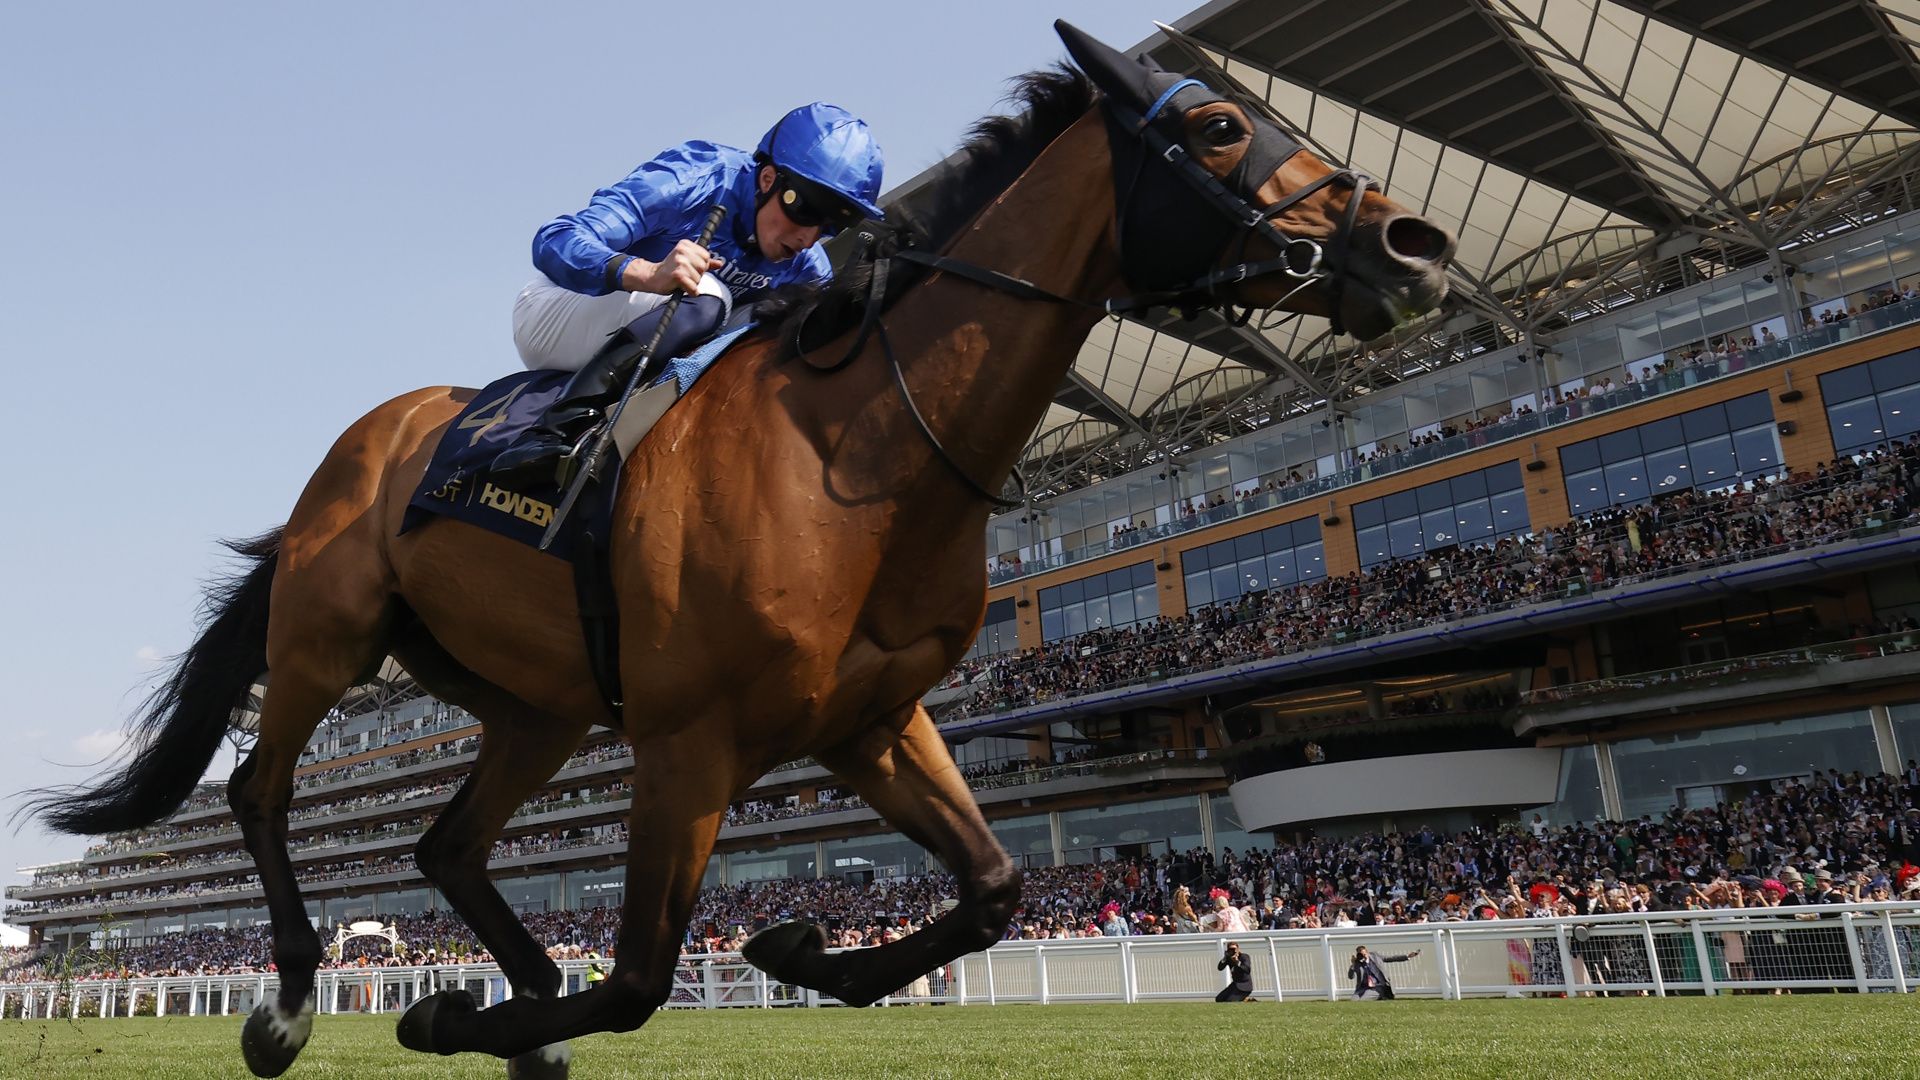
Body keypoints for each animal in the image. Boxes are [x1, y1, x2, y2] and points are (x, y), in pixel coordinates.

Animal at [26, 22, 1452, 1078]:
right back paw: (290, 1003)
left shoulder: (869, 718)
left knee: (444, 850)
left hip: (538, 708)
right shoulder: (688, 741)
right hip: (328, 635)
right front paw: (444, 1010)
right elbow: (639, 978)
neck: (862, 449)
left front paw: (793, 950)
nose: (1413, 240)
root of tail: (364, 443)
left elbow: (992, 886)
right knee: (263, 796)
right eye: (1219, 129)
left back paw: (511, 996)